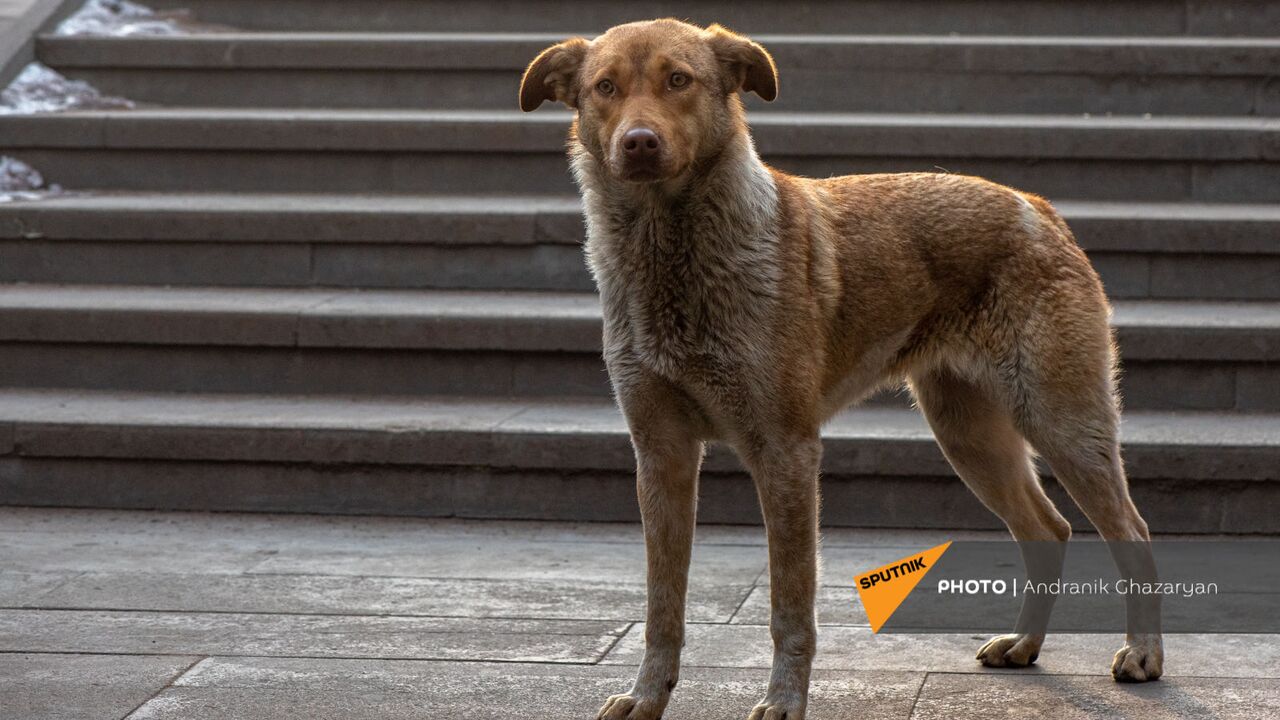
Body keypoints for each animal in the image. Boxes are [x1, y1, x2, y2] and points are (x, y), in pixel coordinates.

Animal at [517, 19, 1162, 712]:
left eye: (678, 80)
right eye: (605, 88)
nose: (638, 143)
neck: (672, 255)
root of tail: (1037, 207)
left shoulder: (786, 452)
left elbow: (789, 606)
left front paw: (784, 703)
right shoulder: (660, 455)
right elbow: (662, 605)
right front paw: (647, 698)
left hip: (1060, 421)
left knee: (1133, 532)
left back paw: (1144, 655)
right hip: (970, 435)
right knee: (1048, 530)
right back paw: (1024, 646)